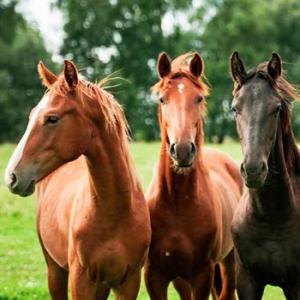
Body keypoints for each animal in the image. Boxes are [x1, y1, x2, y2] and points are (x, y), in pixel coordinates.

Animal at [3, 59, 151, 298]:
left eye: (52, 118)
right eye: (31, 116)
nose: (12, 177)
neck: (115, 213)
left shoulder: (128, 283)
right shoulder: (80, 280)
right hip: (54, 270)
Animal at [145, 52, 244, 300]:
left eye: (198, 99)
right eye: (162, 99)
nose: (182, 149)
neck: (177, 204)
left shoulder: (202, 274)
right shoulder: (154, 276)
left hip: (228, 261)